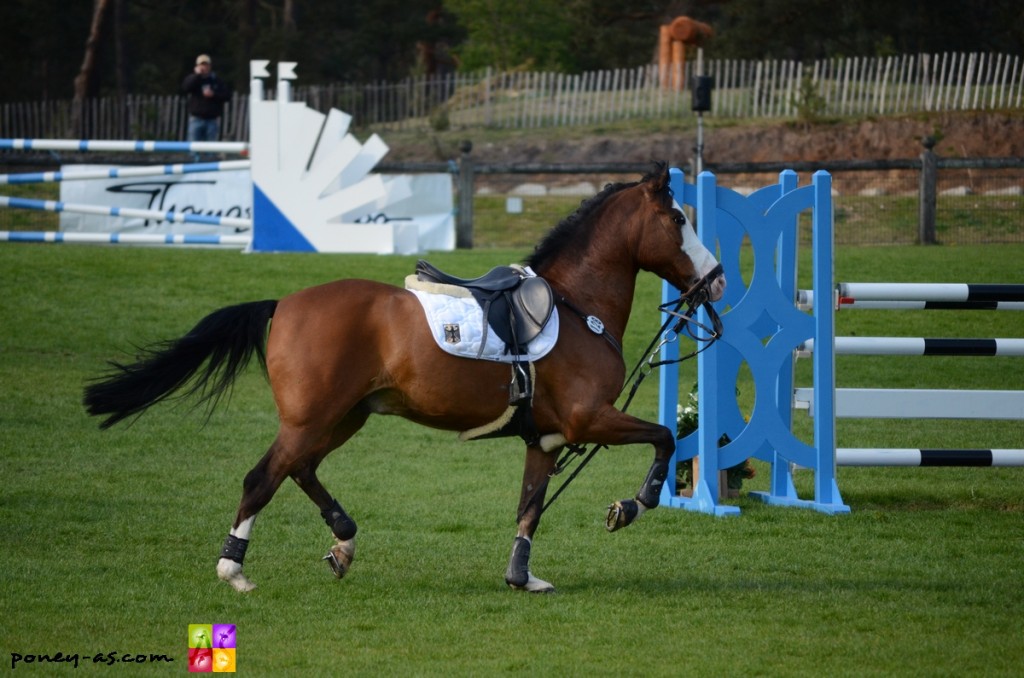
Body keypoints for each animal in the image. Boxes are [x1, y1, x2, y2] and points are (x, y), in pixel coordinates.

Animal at [83, 164, 724, 594]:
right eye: (678, 219)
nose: (716, 279)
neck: (576, 307)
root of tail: (283, 303)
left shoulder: (546, 438)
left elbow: (530, 507)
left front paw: (521, 577)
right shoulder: (588, 419)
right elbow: (666, 436)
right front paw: (634, 504)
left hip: (344, 417)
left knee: (301, 469)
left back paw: (343, 541)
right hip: (313, 417)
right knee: (263, 476)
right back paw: (233, 567)